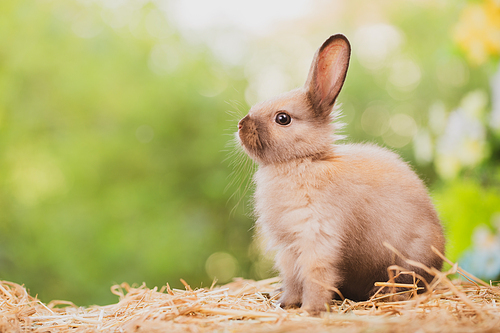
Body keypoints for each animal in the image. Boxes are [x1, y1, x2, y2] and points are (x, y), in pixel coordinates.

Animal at [236, 34, 448, 314]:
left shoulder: (316, 236)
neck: (303, 160)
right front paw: (287, 304)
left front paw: (311, 310)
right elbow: (292, 279)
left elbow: (315, 276)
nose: (241, 125)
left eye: (283, 118)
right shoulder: (288, 248)